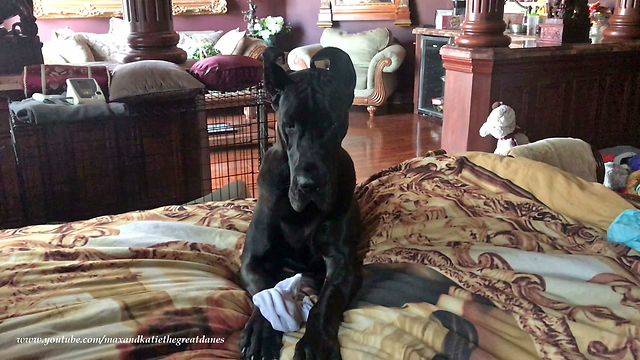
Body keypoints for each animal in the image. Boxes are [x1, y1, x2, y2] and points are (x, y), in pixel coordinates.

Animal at [239, 45, 362, 360]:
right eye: (289, 125)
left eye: (332, 123)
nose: (309, 185)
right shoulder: (252, 260)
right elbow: (264, 292)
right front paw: (261, 333)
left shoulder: (343, 262)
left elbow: (326, 302)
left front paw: (315, 343)